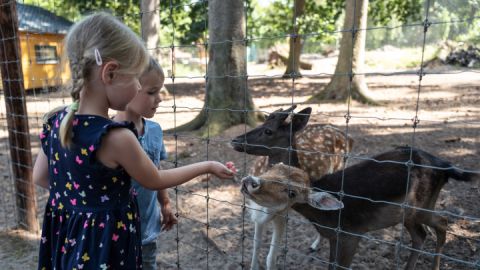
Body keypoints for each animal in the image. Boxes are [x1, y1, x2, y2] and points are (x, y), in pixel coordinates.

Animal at [231, 106, 354, 270]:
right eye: (262, 122)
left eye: (268, 131)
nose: (235, 140)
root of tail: (349, 138)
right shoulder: (255, 212)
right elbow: (255, 247)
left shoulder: (283, 213)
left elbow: (271, 258)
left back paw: (314, 245)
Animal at [242, 147, 478, 270]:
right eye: (273, 168)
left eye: (292, 192)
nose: (250, 182)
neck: (326, 219)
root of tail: (446, 167)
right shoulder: (335, 236)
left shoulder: (352, 234)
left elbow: (341, 267)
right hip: (409, 214)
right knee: (421, 234)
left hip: (422, 206)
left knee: (442, 222)